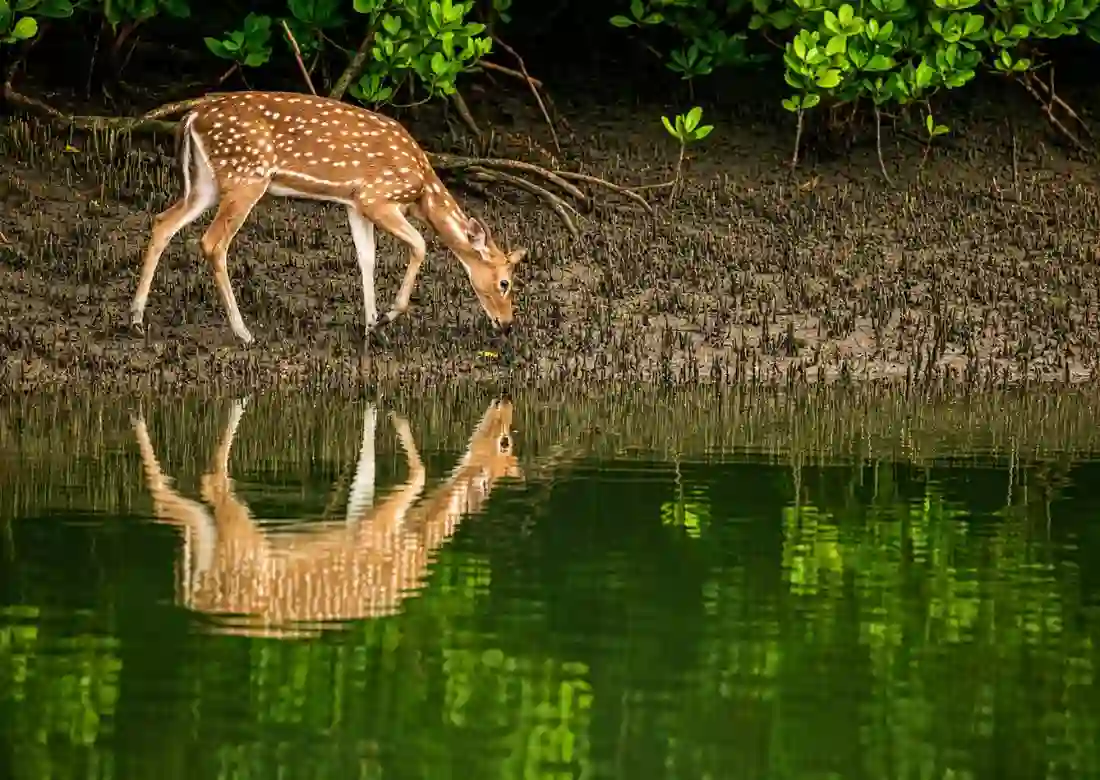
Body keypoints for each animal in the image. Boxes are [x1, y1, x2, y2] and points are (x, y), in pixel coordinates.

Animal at [128, 91, 528, 344]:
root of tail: (190, 117)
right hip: (246, 175)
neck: (421, 190)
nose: (508, 324)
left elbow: (366, 258)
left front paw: (371, 325)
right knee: (212, 242)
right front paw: (388, 316)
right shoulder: (375, 196)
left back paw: (135, 318)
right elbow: (420, 244)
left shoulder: (354, 202)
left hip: (206, 183)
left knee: (162, 222)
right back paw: (243, 333)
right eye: (505, 283)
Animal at [130, 398, 522, 638]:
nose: (505, 406)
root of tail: (193, 592)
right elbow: (421, 473)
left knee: (174, 499)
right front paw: (396, 416)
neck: (415, 539)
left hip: (204, 535)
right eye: (505, 442)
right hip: (239, 537)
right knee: (212, 480)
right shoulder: (377, 524)